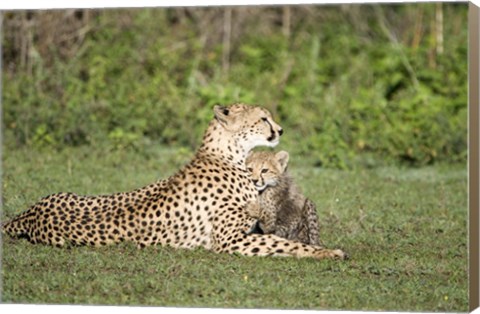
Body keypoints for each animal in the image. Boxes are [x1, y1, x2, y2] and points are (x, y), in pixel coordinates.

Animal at [0, 103, 344, 260]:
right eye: (263, 118)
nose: (280, 129)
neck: (227, 155)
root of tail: (30, 214)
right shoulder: (230, 241)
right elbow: (285, 244)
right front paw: (329, 252)